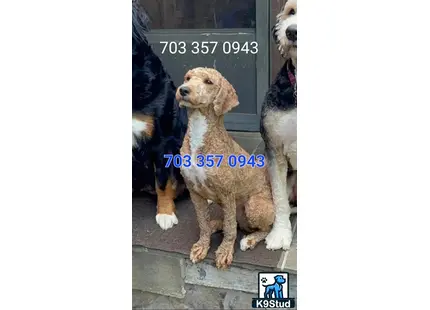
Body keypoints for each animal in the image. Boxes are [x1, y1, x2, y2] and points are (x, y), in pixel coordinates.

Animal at [176, 67, 274, 268]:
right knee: (232, 223)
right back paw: (215, 225)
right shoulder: (194, 191)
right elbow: (202, 222)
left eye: (208, 82)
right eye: (187, 78)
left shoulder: (227, 192)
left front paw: (224, 251)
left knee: (263, 228)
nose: (183, 90)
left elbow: (230, 230)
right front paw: (202, 245)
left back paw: (250, 239)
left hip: (253, 206)